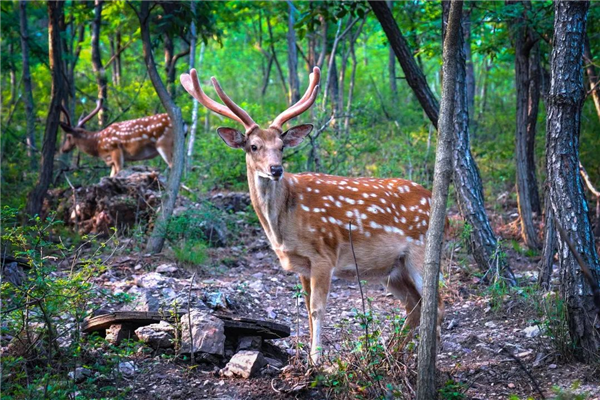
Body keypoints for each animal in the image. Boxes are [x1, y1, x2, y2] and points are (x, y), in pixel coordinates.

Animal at [178, 67, 440, 364]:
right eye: (253, 146)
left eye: (281, 146)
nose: (276, 169)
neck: (283, 226)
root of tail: (440, 209)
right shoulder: (302, 265)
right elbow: (306, 308)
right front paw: (307, 357)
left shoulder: (324, 256)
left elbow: (318, 309)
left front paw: (316, 360)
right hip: (393, 269)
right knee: (414, 306)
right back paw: (389, 352)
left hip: (420, 251)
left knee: (437, 303)